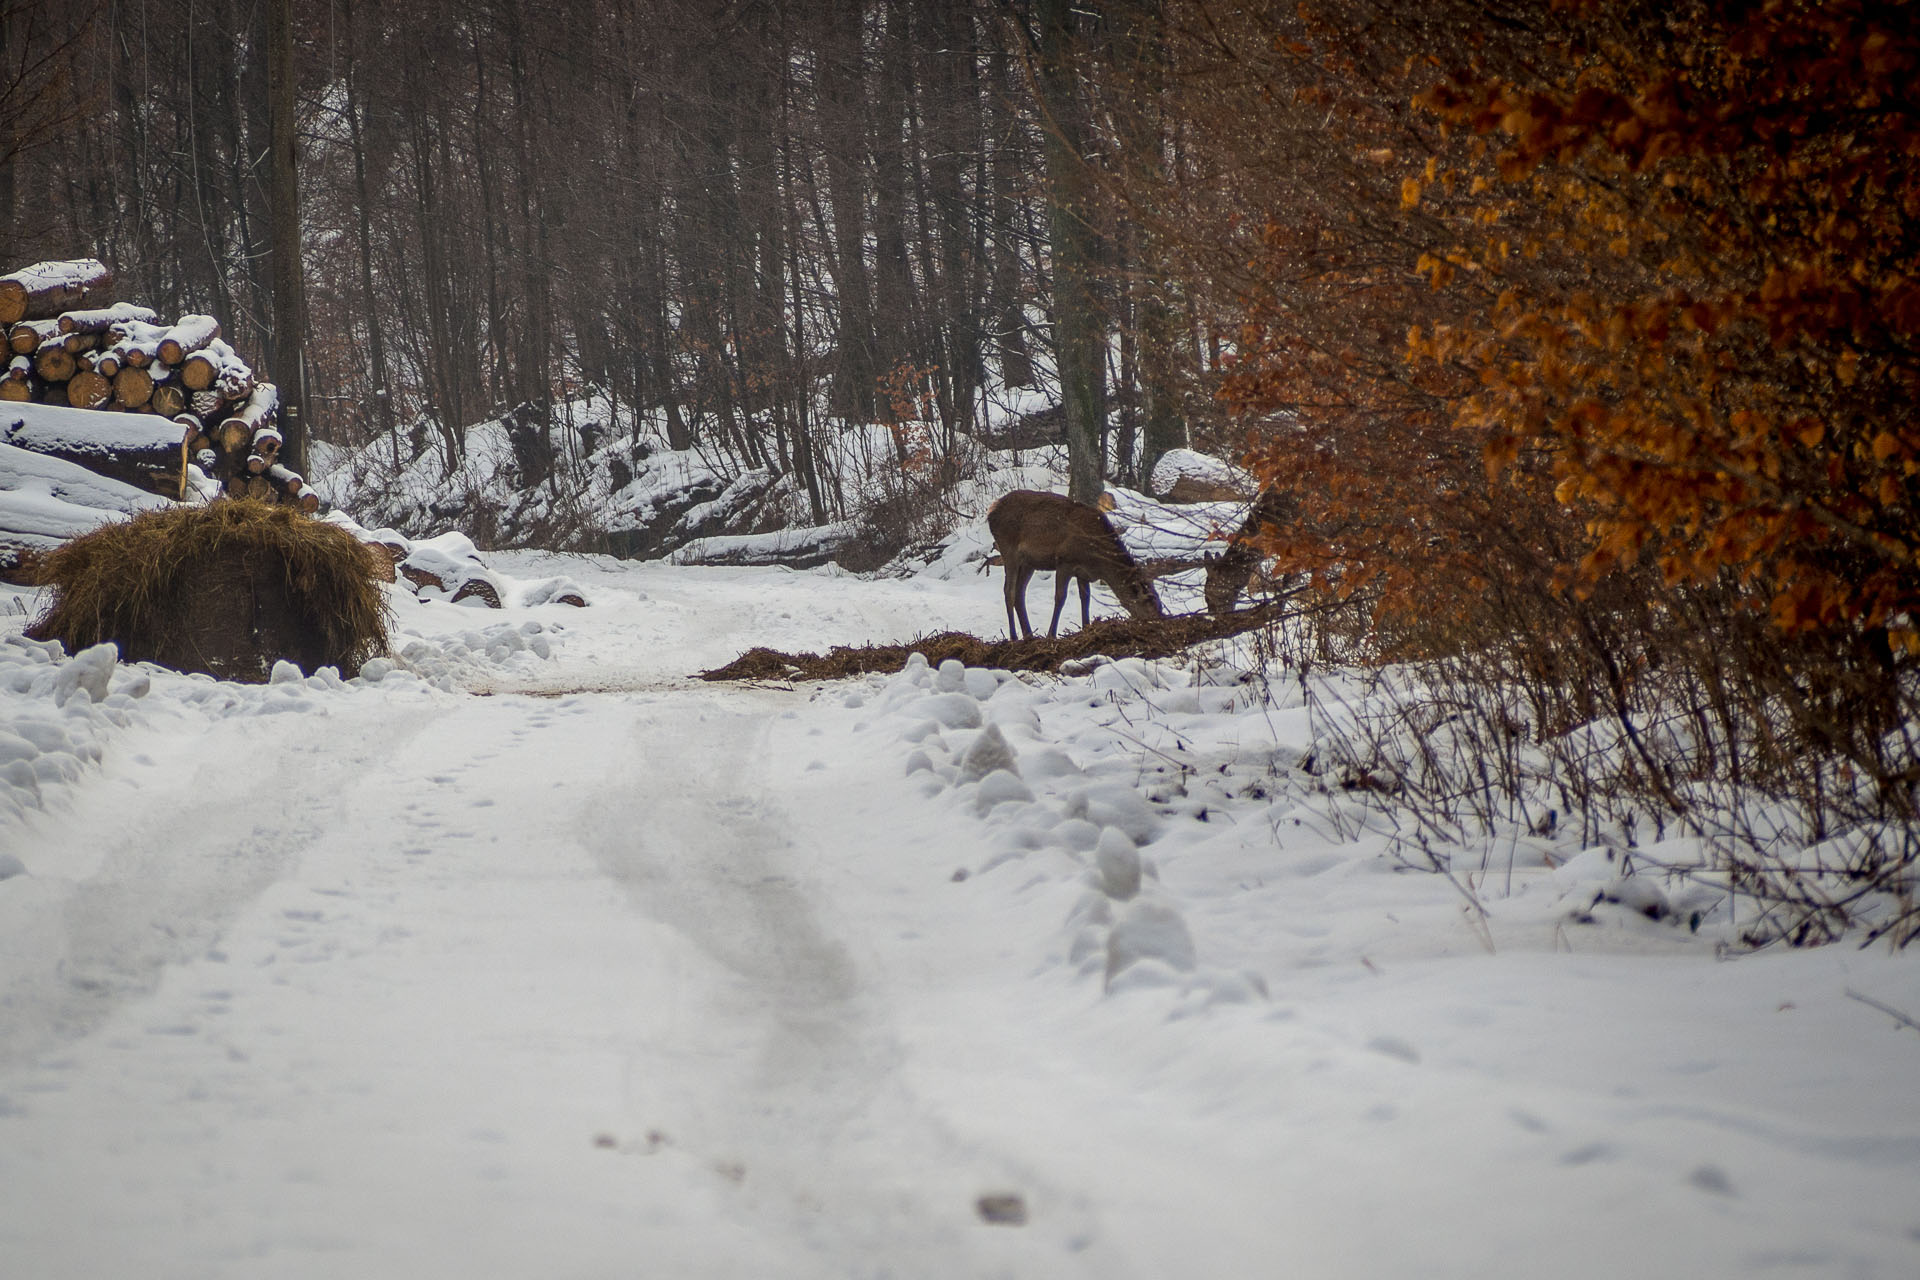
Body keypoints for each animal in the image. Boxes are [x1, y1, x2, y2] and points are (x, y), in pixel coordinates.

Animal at [983, 487, 1159, 640]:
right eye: (1148, 601)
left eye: (1159, 603)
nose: (1159, 618)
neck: (1097, 560)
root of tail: (991, 511)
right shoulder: (1065, 561)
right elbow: (1060, 597)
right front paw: (1051, 635)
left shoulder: (1083, 572)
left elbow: (1085, 598)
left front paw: (1086, 627)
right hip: (1009, 550)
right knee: (1009, 591)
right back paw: (1014, 637)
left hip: (1029, 563)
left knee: (1020, 592)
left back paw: (1029, 635)